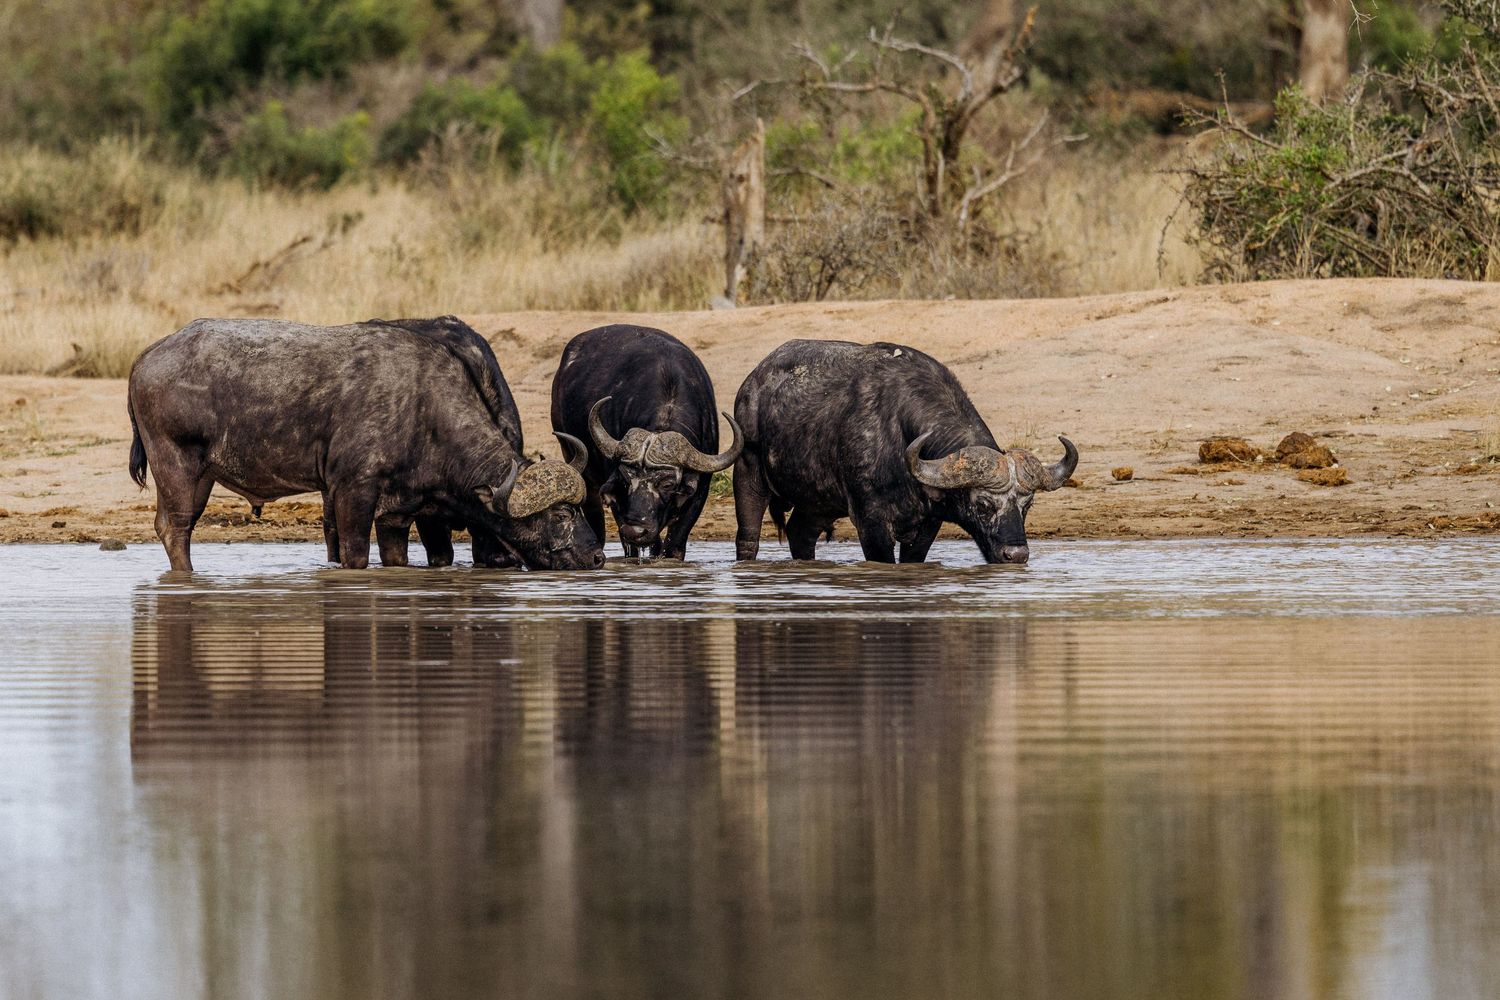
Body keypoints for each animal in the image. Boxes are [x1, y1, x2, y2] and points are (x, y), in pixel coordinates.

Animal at [127, 316, 603, 571]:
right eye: (561, 513)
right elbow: (355, 556)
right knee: (175, 527)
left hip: (202, 476)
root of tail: (145, 357)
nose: (597, 556)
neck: (423, 408)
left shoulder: (397, 514)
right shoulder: (351, 492)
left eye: (580, 508)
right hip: (176, 465)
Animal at [551, 325, 741, 558]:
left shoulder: (699, 493)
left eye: (667, 484)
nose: (635, 530)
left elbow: (674, 543)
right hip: (574, 458)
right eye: (626, 480)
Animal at [732, 339, 1077, 564]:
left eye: (1027, 506)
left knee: (800, 534)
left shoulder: (927, 526)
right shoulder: (870, 522)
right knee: (748, 538)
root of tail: (753, 381)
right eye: (982, 505)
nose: (1016, 554)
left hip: (818, 502)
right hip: (747, 471)